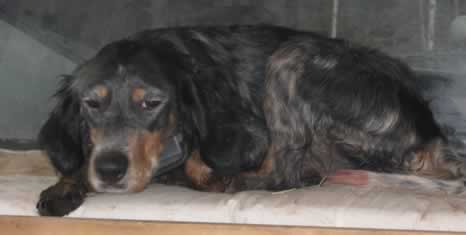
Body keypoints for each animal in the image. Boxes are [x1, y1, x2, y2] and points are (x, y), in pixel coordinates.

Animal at [37, 24, 466, 217]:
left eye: (152, 103)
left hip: (290, 58)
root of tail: (431, 135)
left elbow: (204, 162)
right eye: (91, 104)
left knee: (288, 175)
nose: (111, 170)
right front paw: (65, 186)